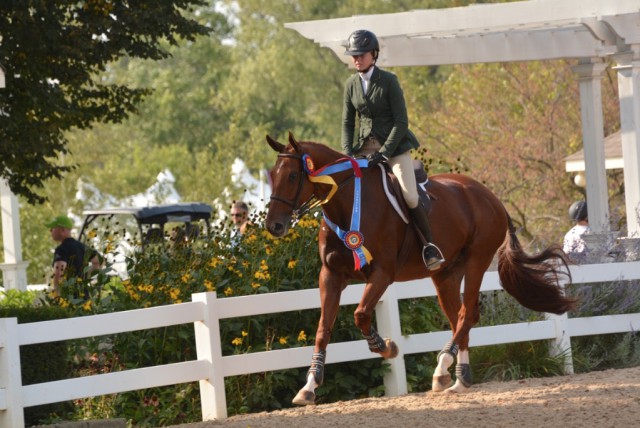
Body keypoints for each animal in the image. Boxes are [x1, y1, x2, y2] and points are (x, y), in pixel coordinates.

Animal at [264, 133, 576, 404]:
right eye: (271, 177)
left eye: (292, 176)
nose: (274, 226)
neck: (349, 203)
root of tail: (491, 197)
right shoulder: (330, 275)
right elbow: (323, 329)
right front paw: (309, 386)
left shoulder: (381, 274)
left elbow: (361, 314)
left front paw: (386, 347)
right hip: (446, 275)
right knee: (460, 316)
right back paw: (459, 379)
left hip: (477, 260)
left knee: (466, 314)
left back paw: (442, 368)